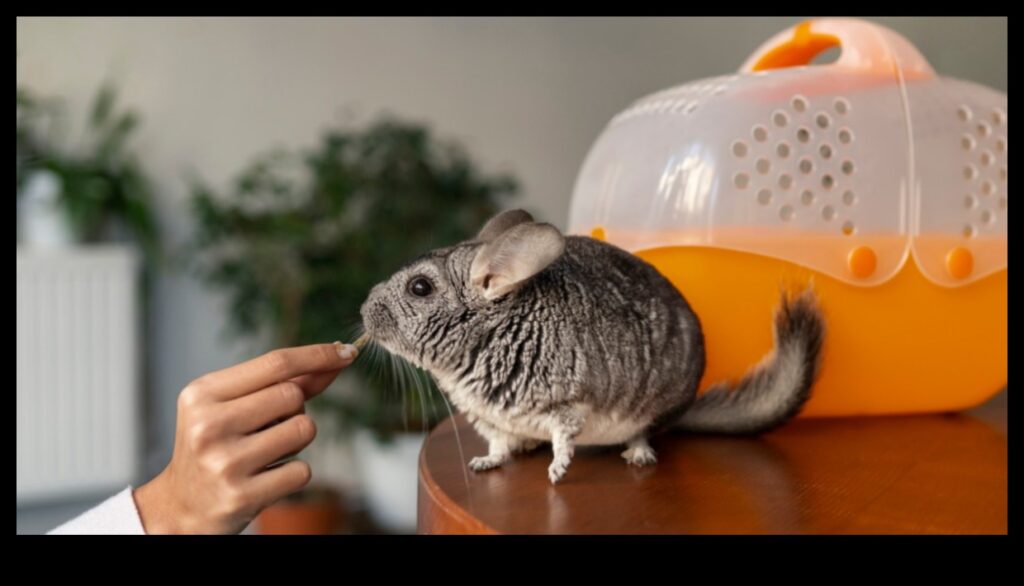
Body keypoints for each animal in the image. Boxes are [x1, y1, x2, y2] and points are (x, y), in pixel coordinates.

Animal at [360, 209, 825, 484]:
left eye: (420, 287)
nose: (363, 310)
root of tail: (684, 407)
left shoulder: (568, 401)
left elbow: (564, 436)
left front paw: (557, 471)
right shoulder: (491, 421)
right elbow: (498, 447)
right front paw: (484, 464)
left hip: (651, 405)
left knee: (642, 432)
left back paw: (638, 455)